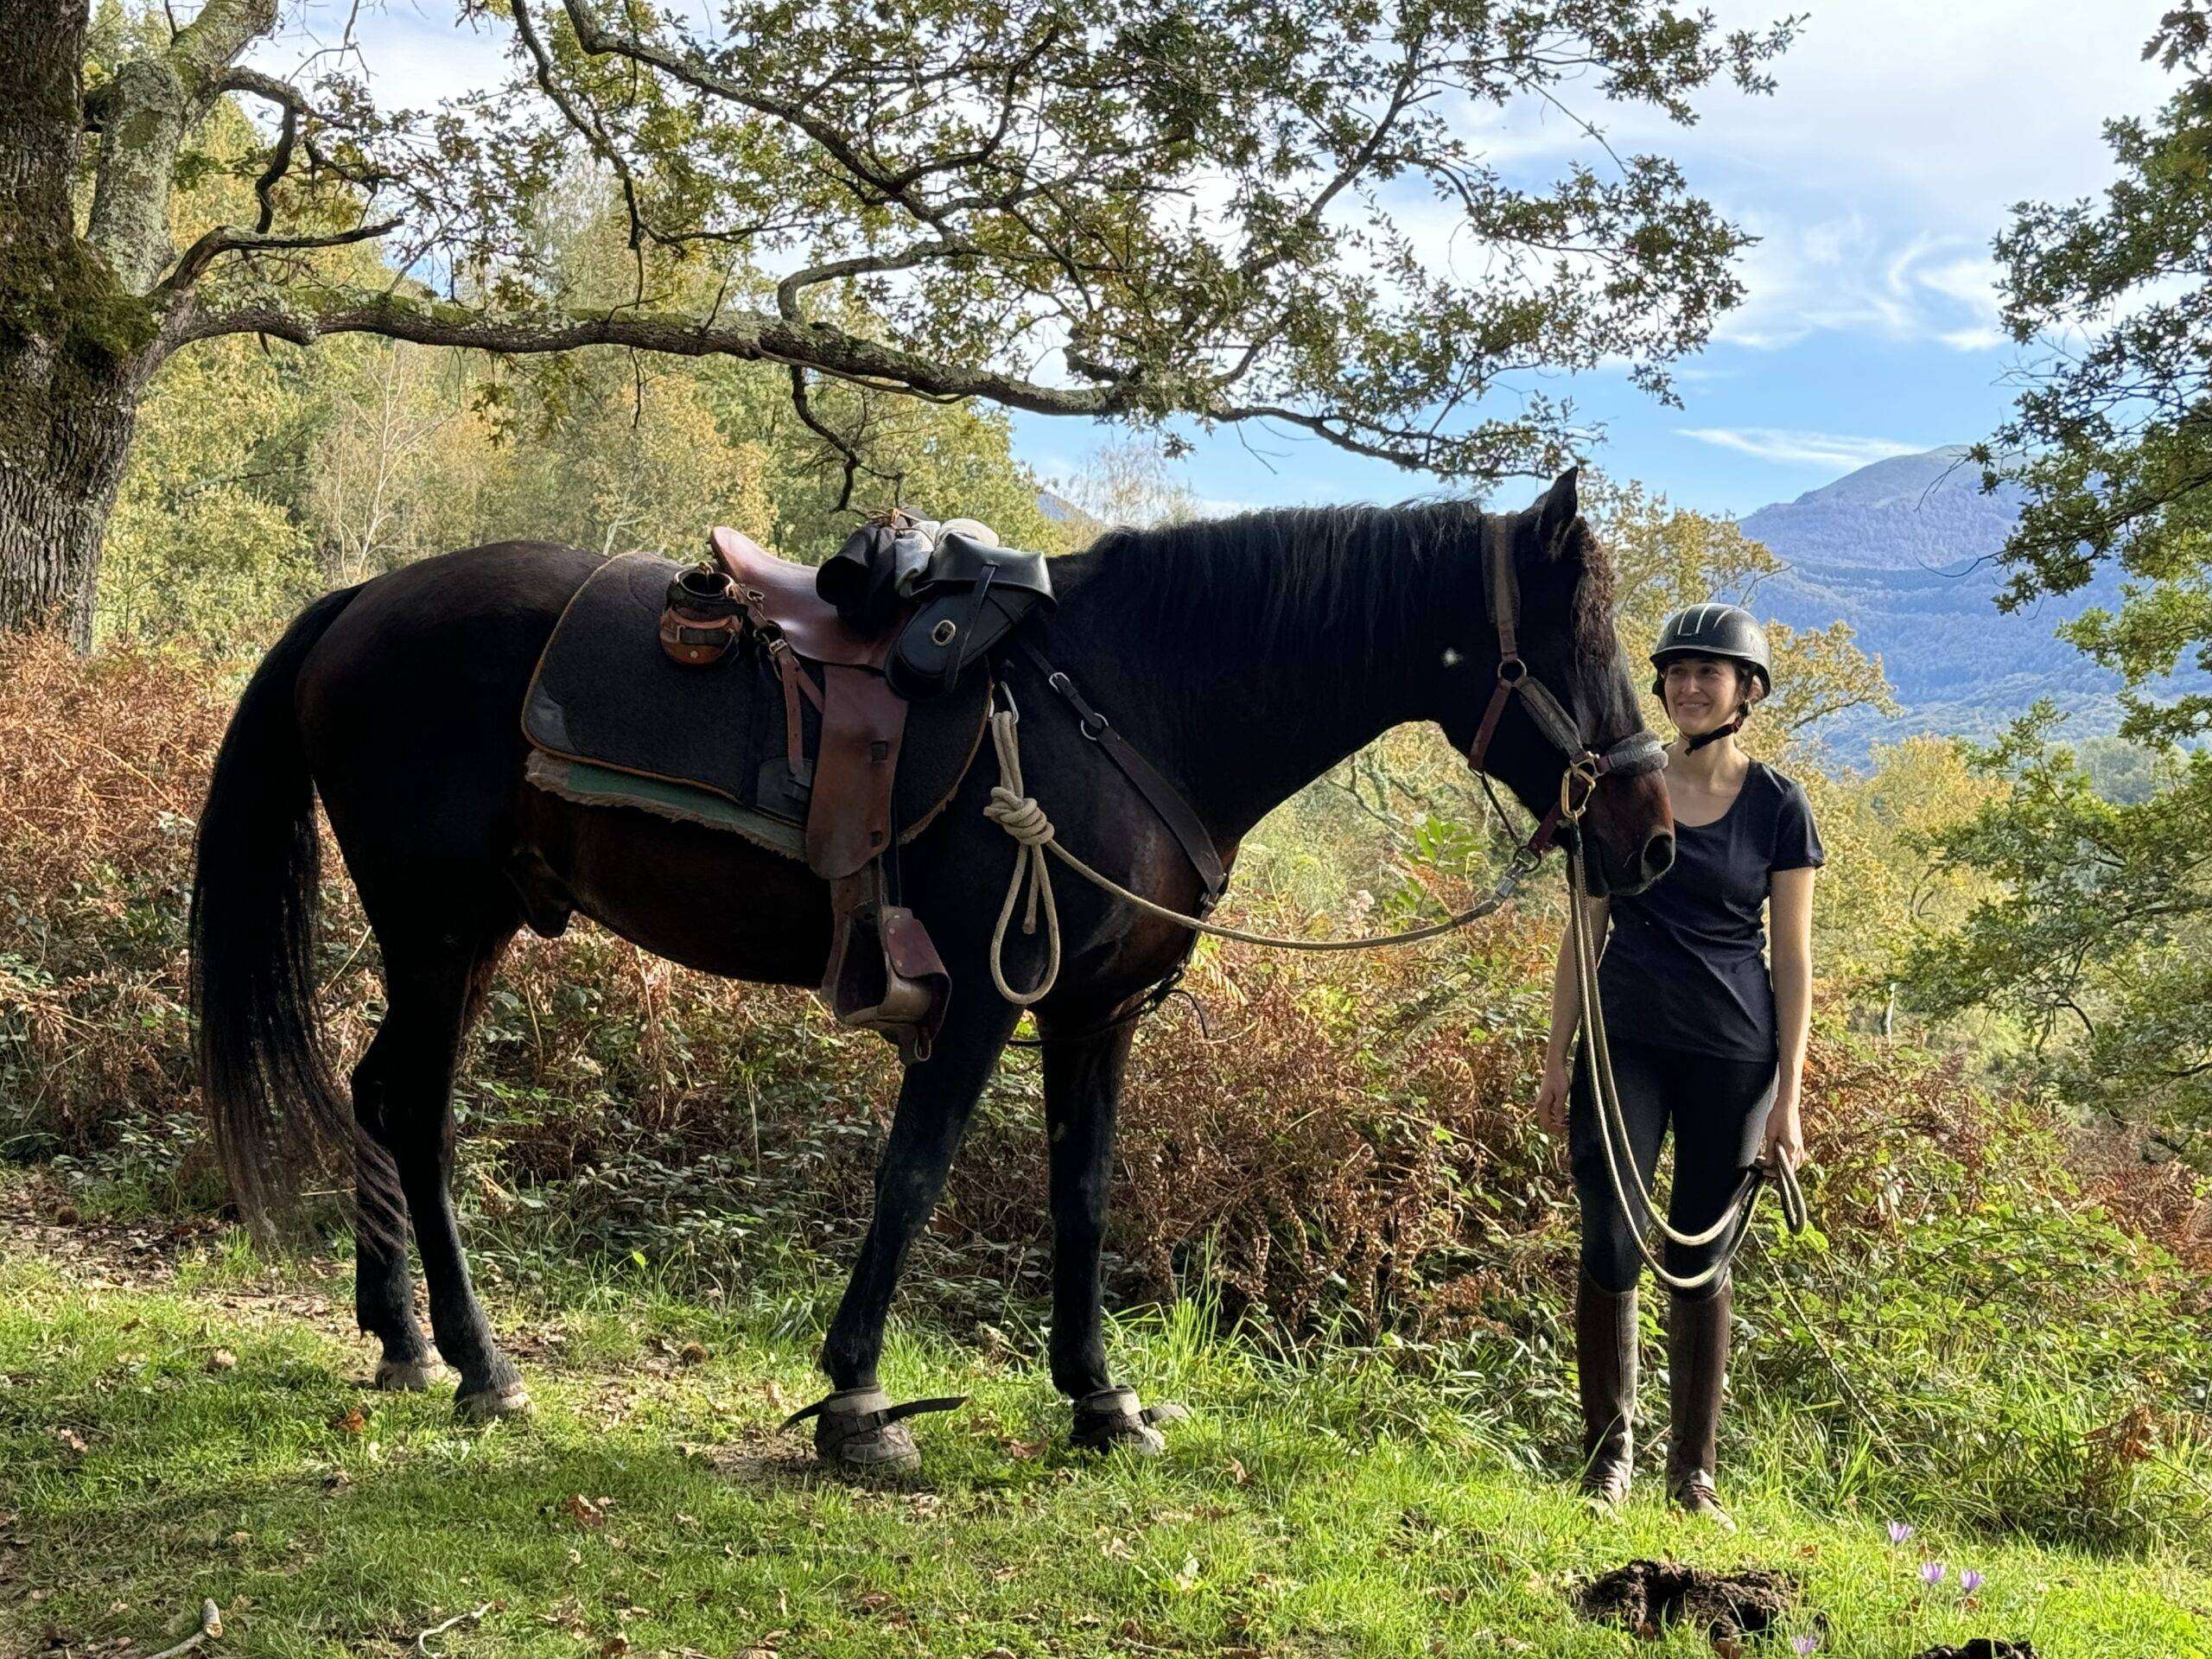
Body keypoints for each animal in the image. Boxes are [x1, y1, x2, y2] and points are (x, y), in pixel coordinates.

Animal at [191, 469, 1674, 1472]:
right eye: (1576, 642)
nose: (1651, 837)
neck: (1129, 705)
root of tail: (363, 603)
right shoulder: (985, 997)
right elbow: (915, 1176)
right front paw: (856, 1403)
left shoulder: (1094, 1018)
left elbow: (1081, 1199)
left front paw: (1099, 1399)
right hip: (441, 931)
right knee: (418, 1114)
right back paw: (480, 1361)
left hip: (465, 935)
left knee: (377, 1094)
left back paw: (400, 1339)